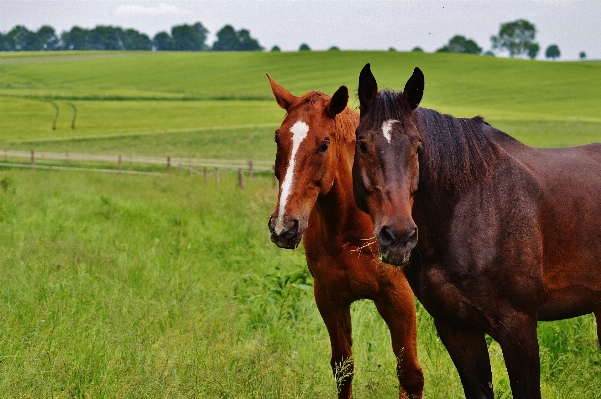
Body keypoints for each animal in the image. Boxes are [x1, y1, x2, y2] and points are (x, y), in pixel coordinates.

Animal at [268, 73, 422, 398]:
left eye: (324, 144)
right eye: (278, 138)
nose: (284, 227)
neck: (349, 232)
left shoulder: (398, 299)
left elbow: (410, 374)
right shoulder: (330, 298)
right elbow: (343, 369)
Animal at [352, 64, 600, 399]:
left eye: (418, 146)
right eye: (362, 144)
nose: (399, 236)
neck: (468, 212)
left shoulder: (518, 327)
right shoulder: (456, 328)